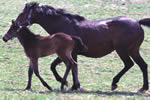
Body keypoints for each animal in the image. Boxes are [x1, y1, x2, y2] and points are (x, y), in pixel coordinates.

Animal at [14, 1, 150, 92]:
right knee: (143, 65)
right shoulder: (68, 53)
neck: (64, 23)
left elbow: (64, 66)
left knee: (129, 64)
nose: (15, 23)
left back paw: (114, 83)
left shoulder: (68, 52)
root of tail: (137, 22)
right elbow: (66, 67)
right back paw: (143, 88)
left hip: (122, 50)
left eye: (23, 12)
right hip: (133, 50)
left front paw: (69, 84)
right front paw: (73, 85)